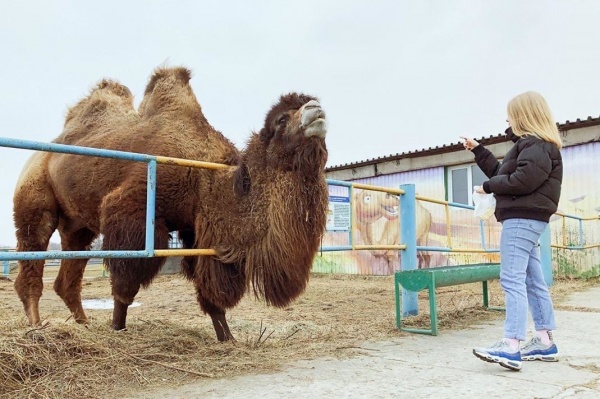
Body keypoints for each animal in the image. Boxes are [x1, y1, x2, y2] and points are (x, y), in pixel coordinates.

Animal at [12, 67, 328, 342]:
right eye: (281, 120)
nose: (317, 109)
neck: (204, 177)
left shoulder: (199, 231)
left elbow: (210, 294)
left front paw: (228, 338)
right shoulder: (132, 212)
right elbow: (125, 286)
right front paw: (117, 329)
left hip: (78, 227)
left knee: (68, 275)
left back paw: (83, 325)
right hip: (33, 198)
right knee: (32, 256)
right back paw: (37, 328)